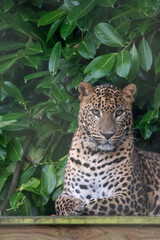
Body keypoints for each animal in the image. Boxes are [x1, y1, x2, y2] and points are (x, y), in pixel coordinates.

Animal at [55, 81, 160, 217]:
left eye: (119, 113)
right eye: (95, 112)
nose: (107, 134)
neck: (95, 155)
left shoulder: (132, 197)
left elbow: (97, 203)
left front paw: (82, 205)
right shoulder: (70, 192)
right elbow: (58, 201)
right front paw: (74, 205)